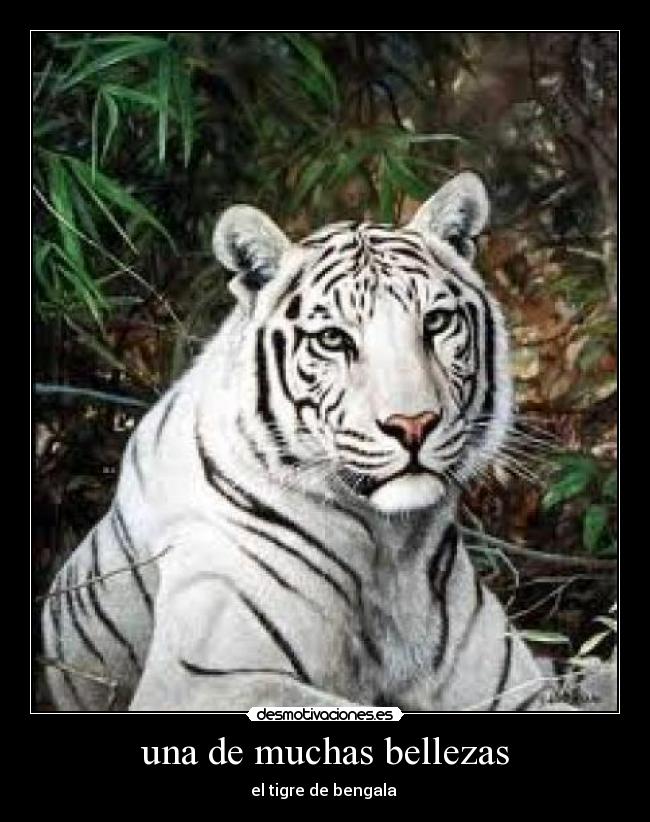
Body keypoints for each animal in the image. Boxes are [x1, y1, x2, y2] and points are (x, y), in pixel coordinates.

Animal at [41, 171, 554, 712]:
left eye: (434, 322)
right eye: (332, 339)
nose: (412, 424)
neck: (393, 547)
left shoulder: (514, 688)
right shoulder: (203, 678)